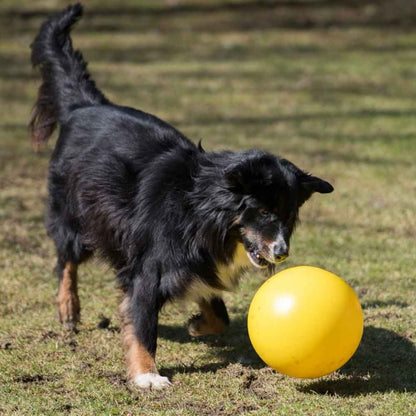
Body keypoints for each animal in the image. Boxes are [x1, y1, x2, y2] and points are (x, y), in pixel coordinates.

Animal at [29, 4, 334, 390]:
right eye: (263, 212)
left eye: (289, 216)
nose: (281, 252)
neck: (201, 209)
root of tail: (84, 105)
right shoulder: (150, 266)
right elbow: (143, 323)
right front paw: (147, 375)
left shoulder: (200, 260)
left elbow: (218, 311)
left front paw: (198, 324)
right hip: (74, 212)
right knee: (66, 259)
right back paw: (68, 307)